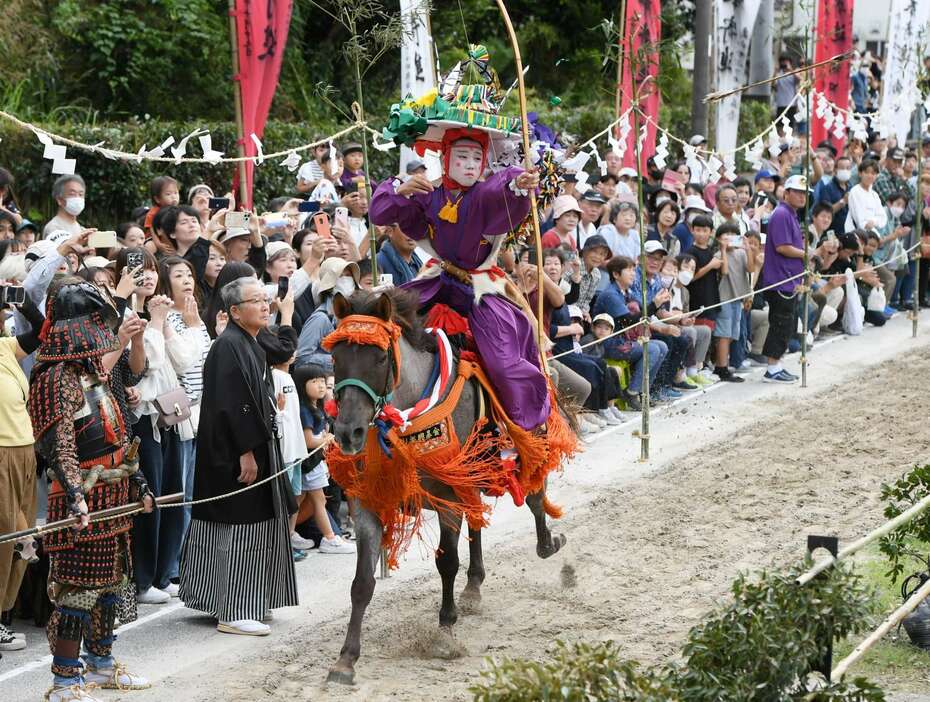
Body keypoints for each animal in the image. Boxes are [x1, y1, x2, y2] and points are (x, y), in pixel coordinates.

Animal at [322, 290, 568, 688]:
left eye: (379, 357)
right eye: (335, 356)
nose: (348, 432)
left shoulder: (449, 496)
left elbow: (446, 561)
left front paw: (444, 632)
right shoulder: (368, 502)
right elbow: (361, 583)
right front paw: (346, 660)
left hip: (524, 443)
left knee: (533, 497)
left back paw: (547, 543)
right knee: (477, 521)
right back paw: (474, 586)